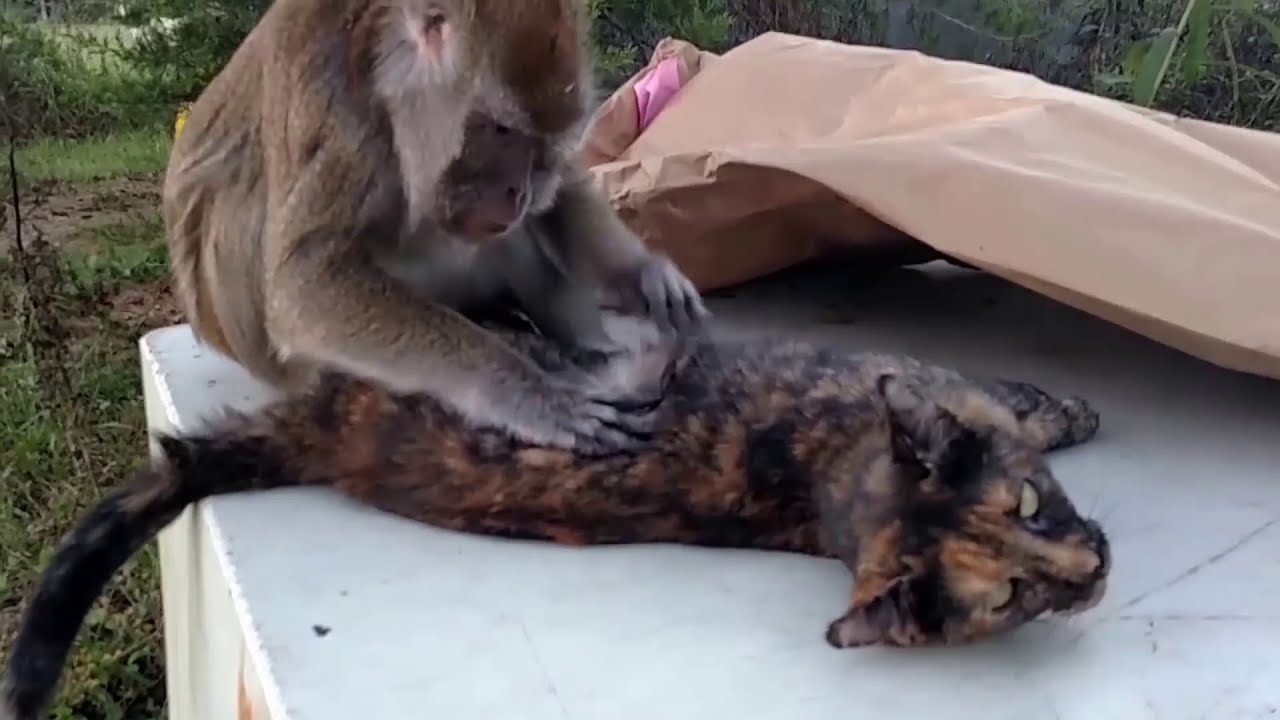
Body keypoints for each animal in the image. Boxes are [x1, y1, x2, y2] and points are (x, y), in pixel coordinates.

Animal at [163, 0, 708, 456]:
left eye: (540, 144)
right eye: (500, 130)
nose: (518, 191)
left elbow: (563, 189)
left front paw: (642, 273)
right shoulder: (345, 123)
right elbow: (304, 284)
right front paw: (525, 392)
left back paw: (593, 348)